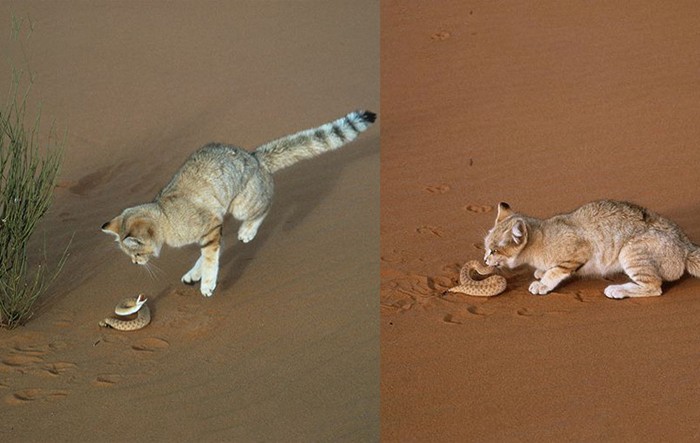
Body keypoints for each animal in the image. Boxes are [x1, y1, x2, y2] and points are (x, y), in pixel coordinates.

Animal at [101, 110, 374, 298]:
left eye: (136, 253)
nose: (135, 263)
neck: (166, 216)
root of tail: (255, 157)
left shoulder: (210, 225)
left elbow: (210, 258)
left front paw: (207, 283)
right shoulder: (213, 228)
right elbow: (208, 254)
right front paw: (195, 275)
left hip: (243, 204)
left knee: (268, 203)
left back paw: (247, 231)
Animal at [484, 200, 700, 298]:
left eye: (494, 251)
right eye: (486, 247)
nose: (485, 259)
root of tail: (686, 245)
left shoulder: (579, 252)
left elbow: (556, 271)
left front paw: (543, 284)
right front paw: (540, 272)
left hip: (630, 252)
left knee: (654, 287)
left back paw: (617, 289)